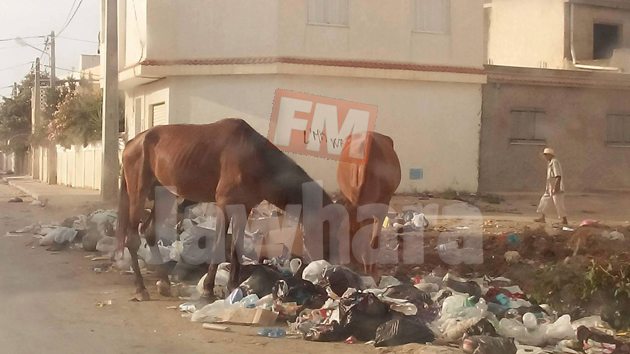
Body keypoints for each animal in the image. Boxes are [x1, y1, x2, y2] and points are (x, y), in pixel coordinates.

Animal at [117, 119, 340, 302]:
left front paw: (233, 287)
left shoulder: (245, 206)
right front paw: (208, 290)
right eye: (326, 229)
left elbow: (235, 246)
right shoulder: (224, 204)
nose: (329, 264)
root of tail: (130, 144)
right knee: (133, 238)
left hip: (163, 192)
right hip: (139, 190)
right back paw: (141, 289)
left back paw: (164, 283)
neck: (257, 159)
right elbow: (218, 244)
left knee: (149, 232)